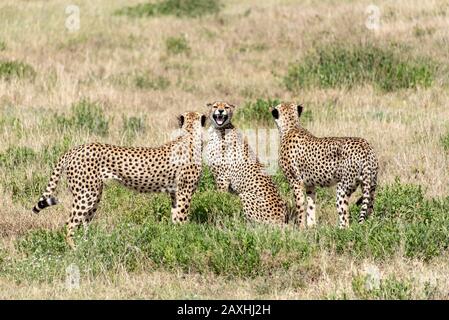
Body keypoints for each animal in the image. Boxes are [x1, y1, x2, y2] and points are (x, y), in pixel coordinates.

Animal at [32, 111, 206, 249]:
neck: (189, 135)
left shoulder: (175, 193)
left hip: (94, 194)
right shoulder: (185, 192)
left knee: (84, 222)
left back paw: (88, 245)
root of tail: (74, 149)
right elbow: (182, 218)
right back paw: (75, 249)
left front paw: (175, 237)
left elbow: (176, 217)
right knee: (70, 223)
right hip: (86, 194)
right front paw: (184, 239)